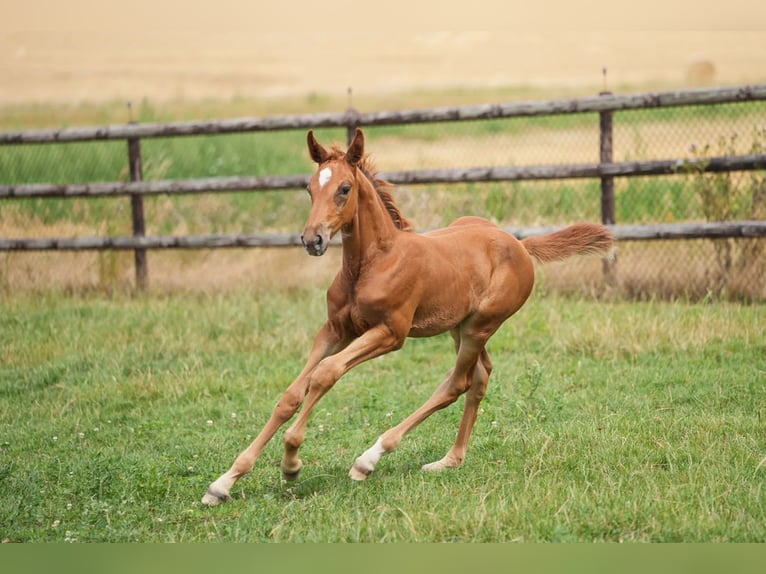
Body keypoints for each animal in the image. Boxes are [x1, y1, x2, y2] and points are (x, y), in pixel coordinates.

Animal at [202, 128, 614, 505]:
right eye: (309, 189)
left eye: (344, 188)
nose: (312, 240)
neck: (371, 263)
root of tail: (521, 245)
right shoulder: (334, 329)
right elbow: (291, 394)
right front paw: (224, 482)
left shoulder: (390, 333)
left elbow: (325, 374)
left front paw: (291, 463)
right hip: (459, 326)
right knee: (480, 377)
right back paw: (449, 460)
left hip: (481, 325)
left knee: (456, 384)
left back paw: (368, 460)